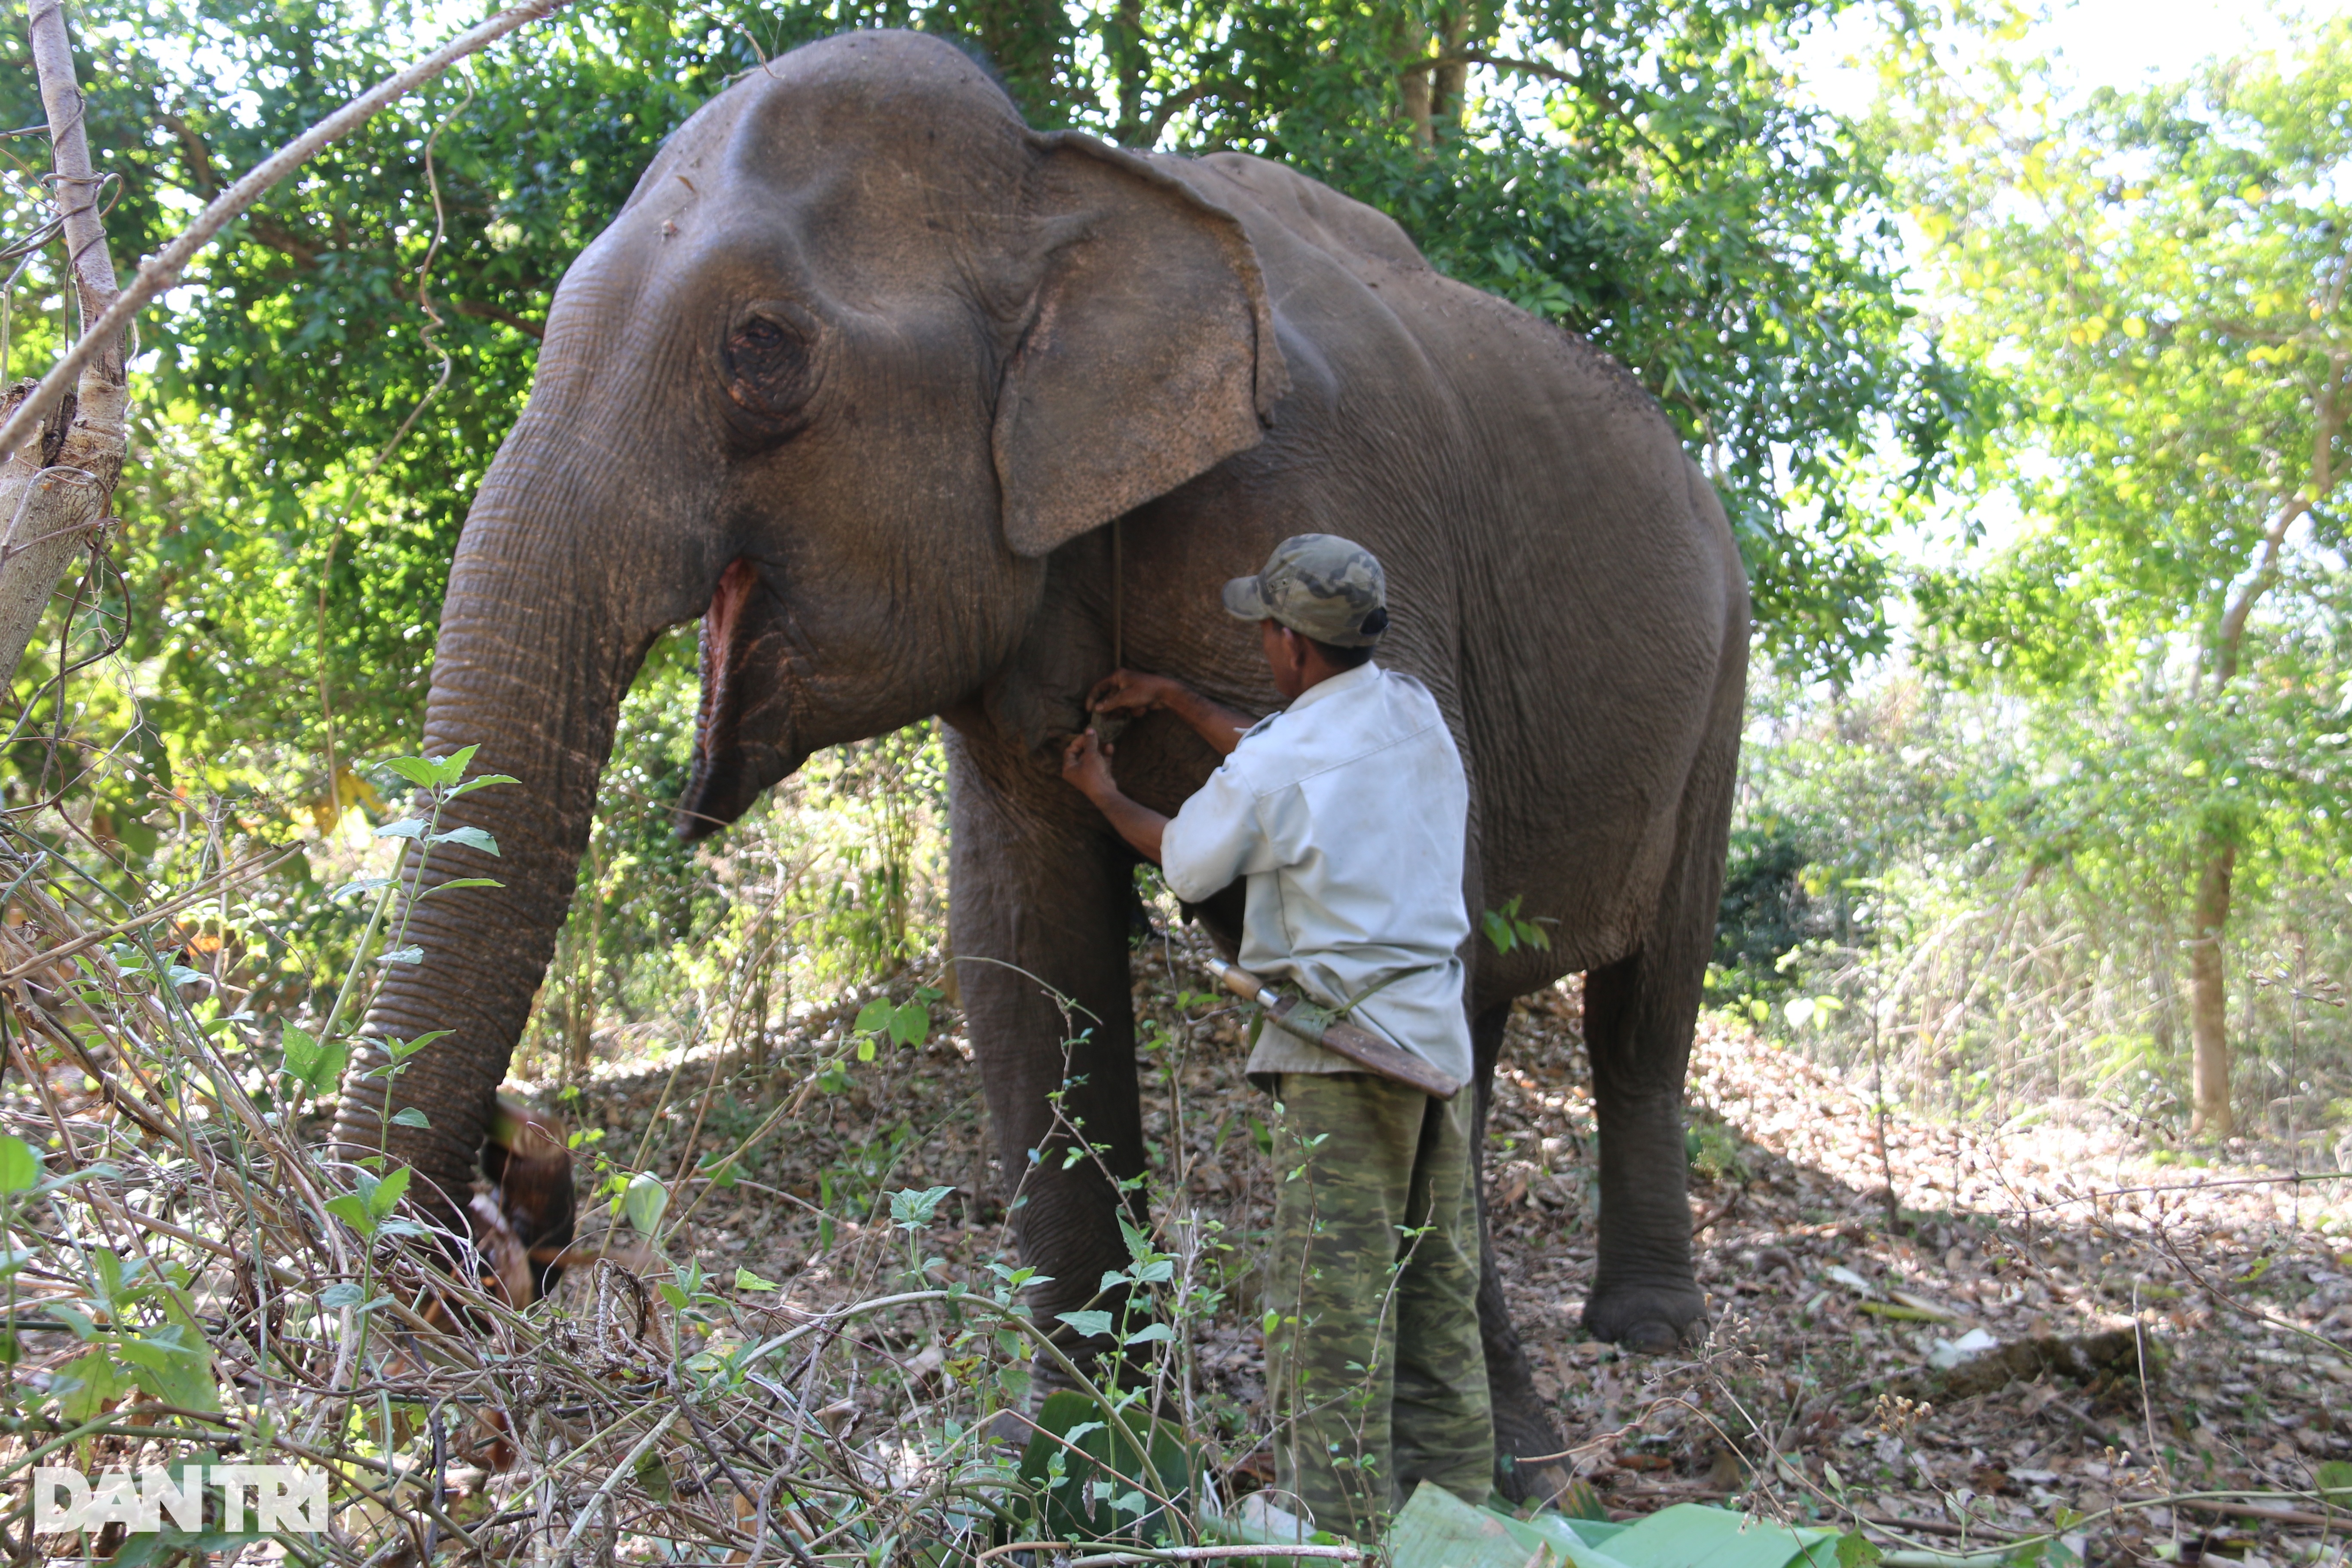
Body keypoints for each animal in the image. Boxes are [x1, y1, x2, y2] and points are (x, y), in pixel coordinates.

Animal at [336, 31, 1750, 1495]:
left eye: (761, 349)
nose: (514, 1165)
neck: (1065, 177)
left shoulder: (1342, 514)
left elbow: (1387, 935)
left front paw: (1489, 1478)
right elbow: (1019, 951)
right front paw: (1074, 1478)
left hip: (1726, 682)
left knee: (1639, 1007)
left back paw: (1642, 1336)